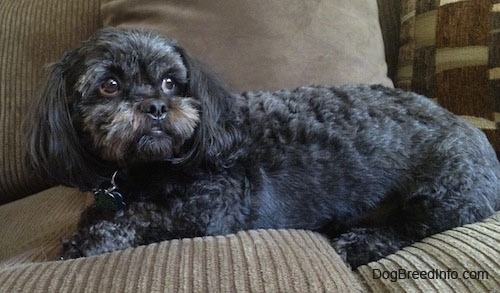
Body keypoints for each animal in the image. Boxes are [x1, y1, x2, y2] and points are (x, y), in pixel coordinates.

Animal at [26, 27, 500, 266]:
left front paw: (89, 241)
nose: (157, 105)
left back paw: (361, 243)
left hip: (442, 193)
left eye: (170, 82)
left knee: (412, 229)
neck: (151, 166)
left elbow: (144, 217)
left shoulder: (215, 206)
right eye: (108, 85)